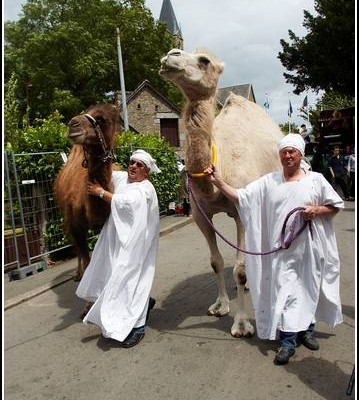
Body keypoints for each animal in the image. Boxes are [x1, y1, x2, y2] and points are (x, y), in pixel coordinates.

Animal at [53, 104, 121, 282]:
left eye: (102, 119)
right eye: (86, 112)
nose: (73, 124)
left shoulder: (104, 221)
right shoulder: (75, 224)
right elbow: (85, 254)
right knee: (77, 248)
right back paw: (78, 274)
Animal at [160, 47, 284, 338]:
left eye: (204, 60)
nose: (170, 55)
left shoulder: (242, 210)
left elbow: (239, 269)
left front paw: (242, 324)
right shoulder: (199, 214)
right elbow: (216, 262)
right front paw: (220, 306)